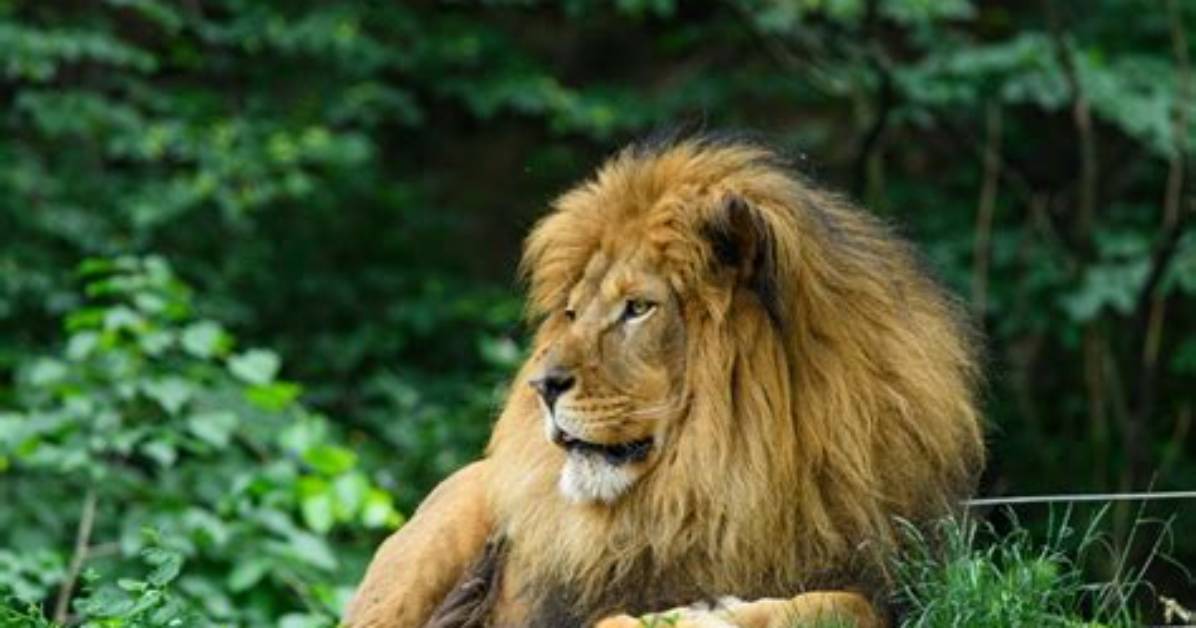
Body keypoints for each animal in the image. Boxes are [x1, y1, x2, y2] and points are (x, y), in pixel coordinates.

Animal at [344, 136, 985, 628]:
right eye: (573, 313)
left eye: (637, 308)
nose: (541, 386)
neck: (712, 484)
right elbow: (613, 619)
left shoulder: (888, 581)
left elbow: (839, 602)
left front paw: (720, 612)